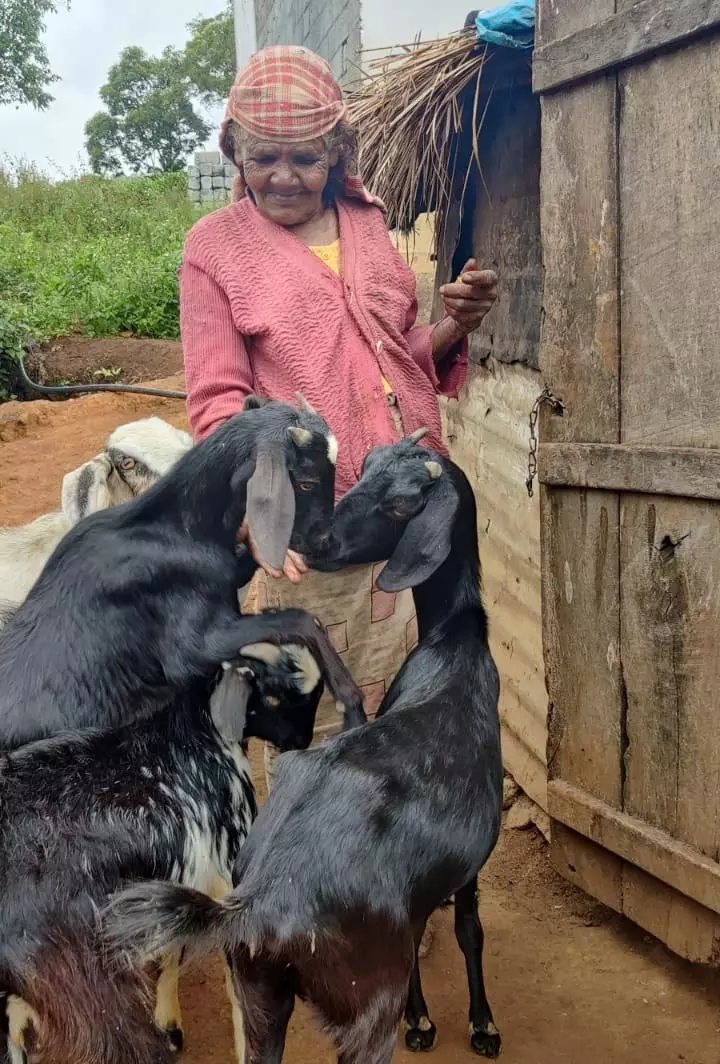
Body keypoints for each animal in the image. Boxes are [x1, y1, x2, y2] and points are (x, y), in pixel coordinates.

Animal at [108, 431, 504, 1062]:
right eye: (365, 472)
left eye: (400, 504)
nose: (319, 539)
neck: (453, 642)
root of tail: (260, 903)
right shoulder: (468, 864)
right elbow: (470, 929)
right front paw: (479, 1024)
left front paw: (426, 1018)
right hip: (362, 1002)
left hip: (258, 993)